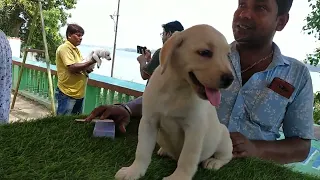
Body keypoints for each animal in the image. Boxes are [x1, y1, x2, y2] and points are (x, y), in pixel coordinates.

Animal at [115, 24, 235, 180]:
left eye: (228, 56)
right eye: (205, 52)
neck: (177, 89)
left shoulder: (194, 129)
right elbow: (142, 151)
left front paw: (179, 176)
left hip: (224, 137)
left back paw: (213, 162)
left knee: (226, 156)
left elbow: (187, 157)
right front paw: (133, 171)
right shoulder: (148, 122)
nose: (230, 79)